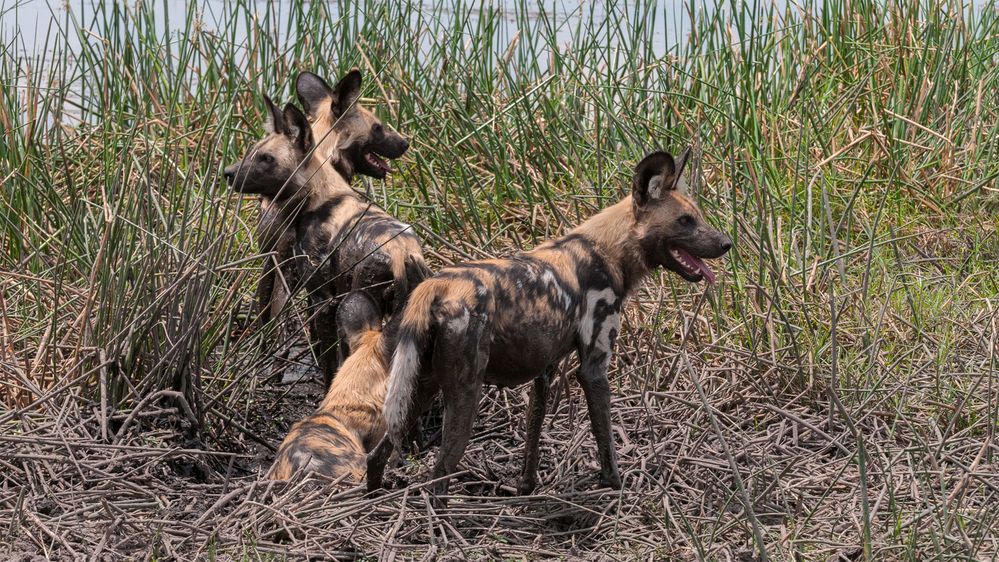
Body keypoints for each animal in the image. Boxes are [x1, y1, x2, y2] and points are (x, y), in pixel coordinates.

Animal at [368, 147, 736, 492]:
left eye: (698, 217)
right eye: (685, 221)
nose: (727, 243)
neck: (608, 251)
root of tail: (437, 284)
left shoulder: (543, 372)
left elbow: (533, 436)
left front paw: (526, 488)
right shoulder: (594, 368)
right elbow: (605, 439)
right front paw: (615, 486)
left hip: (419, 388)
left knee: (376, 454)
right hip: (464, 392)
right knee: (440, 474)